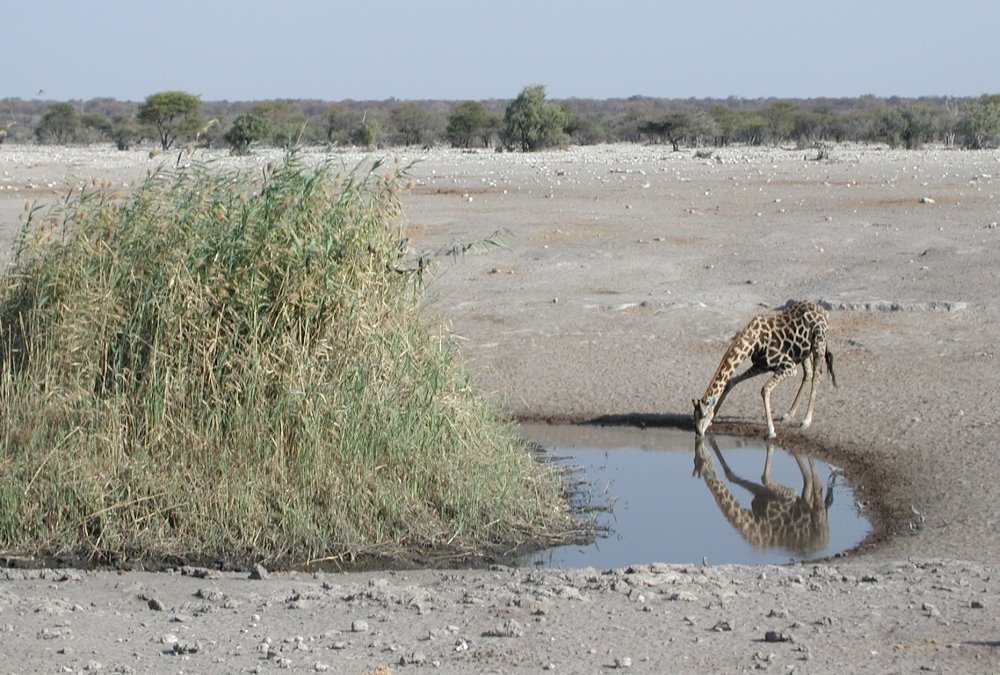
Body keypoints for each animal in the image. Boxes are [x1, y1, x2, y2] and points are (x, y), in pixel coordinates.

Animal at [692, 302, 832, 438]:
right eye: (694, 415)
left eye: (703, 415)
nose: (698, 434)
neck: (754, 341)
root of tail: (823, 312)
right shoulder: (761, 366)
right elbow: (731, 381)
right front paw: (713, 419)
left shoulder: (788, 366)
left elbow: (765, 389)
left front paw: (771, 431)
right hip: (804, 352)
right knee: (808, 374)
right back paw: (789, 414)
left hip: (819, 343)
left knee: (817, 376)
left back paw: (806, 421)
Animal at [692, 436, 832, 556]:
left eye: (702, 459)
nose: (703, 450)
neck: (754, 524)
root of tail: (825, 543)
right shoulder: (760, 494)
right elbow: (732, 476)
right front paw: (712, 440)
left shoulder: (787, 496)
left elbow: (765, 478)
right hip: (806, 503)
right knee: (808, 485)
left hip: (819, 516)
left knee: (817, 486)